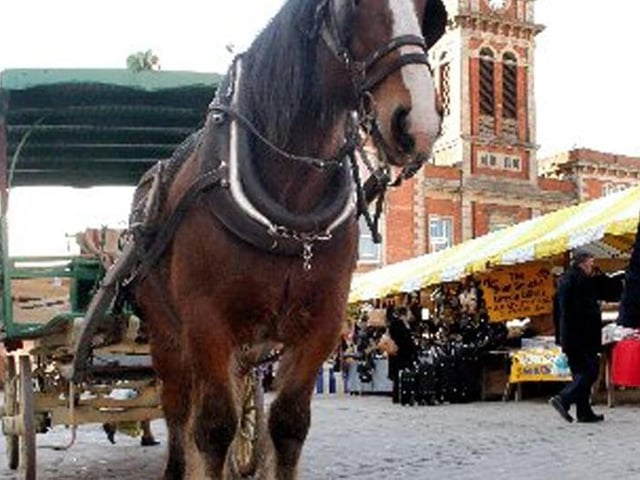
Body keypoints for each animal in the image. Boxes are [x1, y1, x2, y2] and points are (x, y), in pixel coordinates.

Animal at [130, 1, 447, 478]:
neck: (289, 210)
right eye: (354, 7)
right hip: (166, 333)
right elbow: (214, 428)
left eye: (427, 13)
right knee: (179, 409)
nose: (420, 123)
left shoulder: (322, 325)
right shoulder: (206, 324)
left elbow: (289, 423)